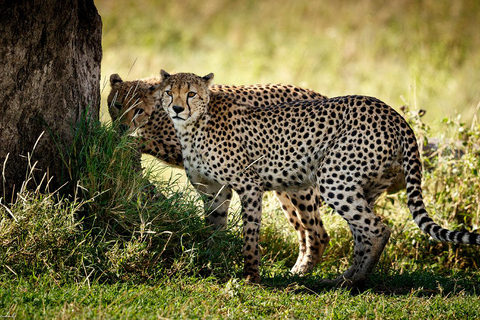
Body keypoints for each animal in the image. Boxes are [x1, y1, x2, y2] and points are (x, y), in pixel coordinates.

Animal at [107, 72, 332, 276]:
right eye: (117, 105)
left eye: (138, 110)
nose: (122, 127)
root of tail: (318, 94)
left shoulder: (183, 149)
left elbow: (149, 142)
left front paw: (127, 142)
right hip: (284, 185)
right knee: (303, 230)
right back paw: (297, 268)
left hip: (300, 185)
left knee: (318, 233)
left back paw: (301, 271)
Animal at [158, 70, 480, 288]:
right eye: (169, 92)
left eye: (191, 93)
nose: (177, 108)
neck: (194, 126)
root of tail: (392, 113)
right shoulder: (214, 191)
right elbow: (214, 230)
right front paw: (213, 263)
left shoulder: (249, 185)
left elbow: (250, 234)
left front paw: (250, 276)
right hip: (361, 186)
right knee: (361, 234)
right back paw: (344, 278)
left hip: (333, 178)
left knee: (377, 229)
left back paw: (354, 283)